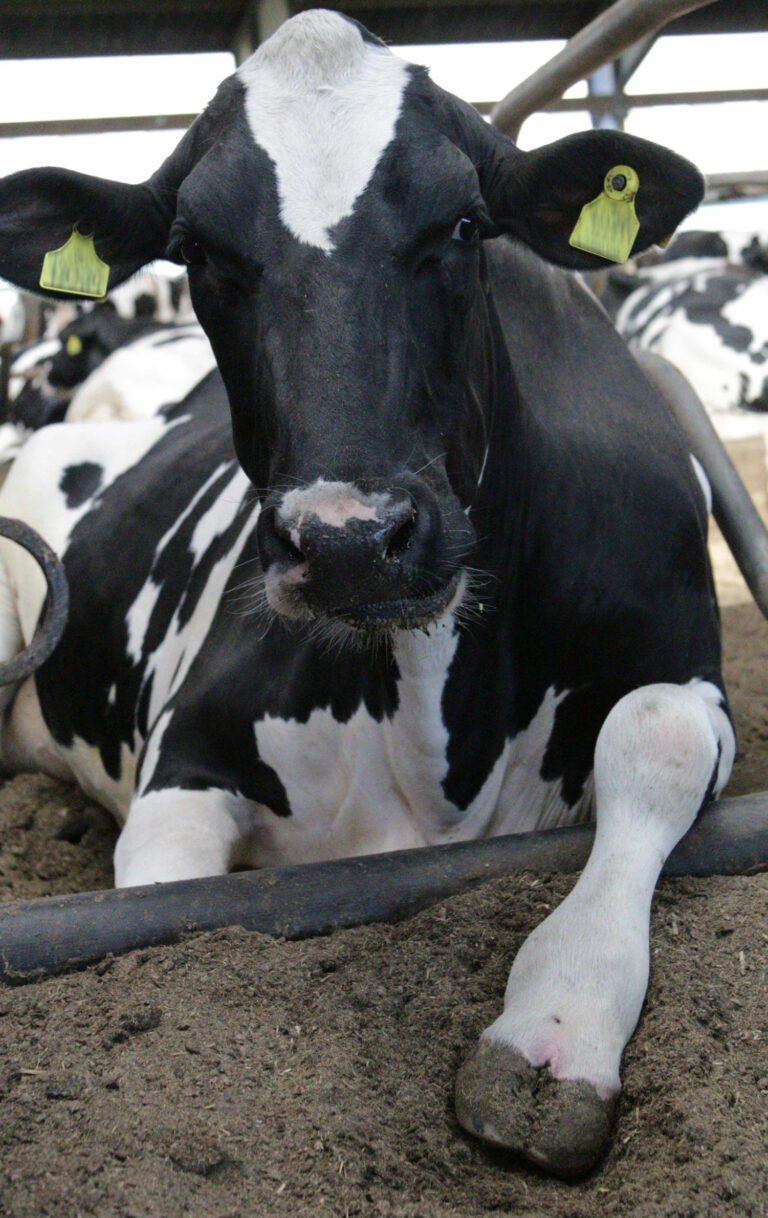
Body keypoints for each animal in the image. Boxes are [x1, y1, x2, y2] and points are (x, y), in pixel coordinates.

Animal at [0, 10, 734, 1180]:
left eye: (467, 223)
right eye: (197, 251)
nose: (349, 542)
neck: (446, 724)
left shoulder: (683, 659)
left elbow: (653, 737)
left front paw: (556, 1029)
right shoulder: (192, 748)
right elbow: (158, 901)